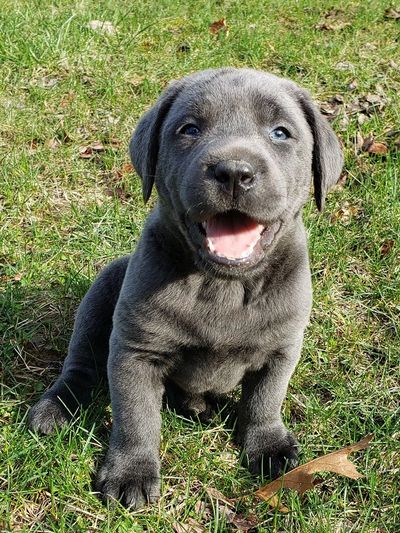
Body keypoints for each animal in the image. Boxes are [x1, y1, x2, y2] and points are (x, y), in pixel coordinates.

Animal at [28, 68, 342, 510]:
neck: (222, 286)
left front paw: (267, 445)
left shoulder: (282, 347)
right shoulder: (135, 352)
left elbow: (265, 399)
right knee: (81, 362)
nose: (234, 171)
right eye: (190, 129)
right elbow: (136, 418)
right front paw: (131, 473)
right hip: (102, 293)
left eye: (281, 133)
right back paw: (56, 409)